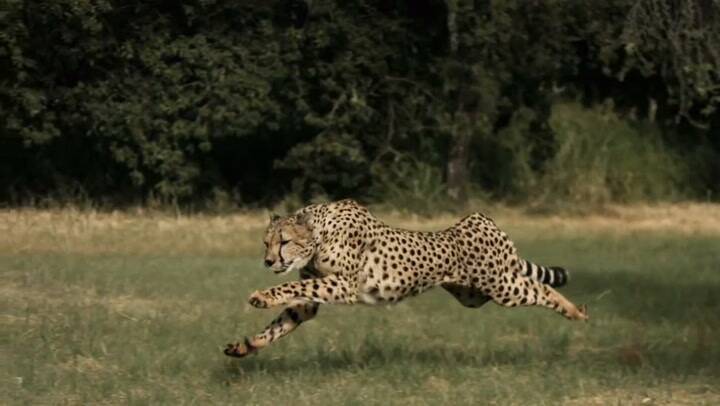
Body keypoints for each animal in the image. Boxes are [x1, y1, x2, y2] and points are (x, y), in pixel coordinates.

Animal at [225, 199, 587, 358]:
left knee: (539, 288)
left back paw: (576, 311)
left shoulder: (343, 285)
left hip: (502, 286)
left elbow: (292, 285)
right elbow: (281, 323)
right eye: (266, 242)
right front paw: (247, 345)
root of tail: (483, 220)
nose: (268, 261)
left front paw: (262, 296)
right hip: (473, 295)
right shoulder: (311, 301)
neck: (319, 232)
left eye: (283, 241)